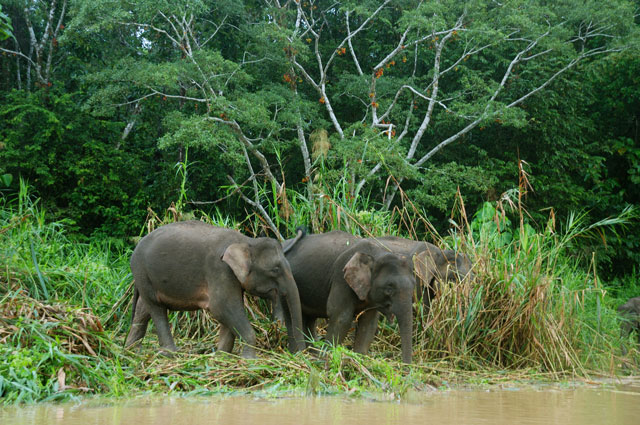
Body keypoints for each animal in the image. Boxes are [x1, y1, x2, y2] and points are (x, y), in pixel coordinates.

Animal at [125, 220, 308, 356]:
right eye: (275, 270)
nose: (298, 353)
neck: (247, 241)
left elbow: (228, 314)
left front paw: (221, 356)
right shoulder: (219, 270)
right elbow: (222, 307)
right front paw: (249, 359)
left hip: (145, 277)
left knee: (143, 308)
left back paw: (131, 350)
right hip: (142, 271)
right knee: (156, 308)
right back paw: (170, 353)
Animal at [282, 230, 416, 362]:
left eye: (413, 286)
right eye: (389, 289)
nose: (405, 368)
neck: (375, 254)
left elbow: (368, 323)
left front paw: (358, 359)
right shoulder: (341, 278)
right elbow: (341, 317)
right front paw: (329, 357)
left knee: (308, 318)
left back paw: (311, 353)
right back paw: (298, 354)